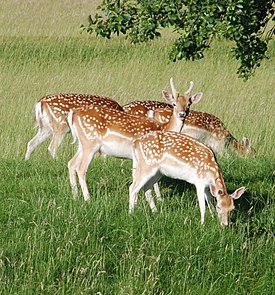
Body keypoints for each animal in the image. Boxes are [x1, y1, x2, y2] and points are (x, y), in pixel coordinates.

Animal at [68, 78, 204, 204]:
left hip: (82, 144)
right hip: (90, 143)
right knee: (81, 168)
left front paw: (154, 199)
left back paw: (75, 196)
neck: (163, 128)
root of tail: (74, 114)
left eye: (188, 105)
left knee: (71, 163)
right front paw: (147, 200)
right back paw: (87, 199)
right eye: (174, 104)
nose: (182, 114)